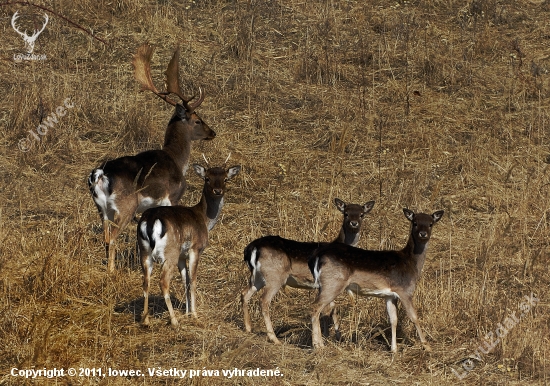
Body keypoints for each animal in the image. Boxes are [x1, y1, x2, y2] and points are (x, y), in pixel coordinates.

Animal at [88, 44, 216, 272]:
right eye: (198, 120)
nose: (213, 132)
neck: (177, 160)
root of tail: (100, 175)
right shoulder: (172, 196)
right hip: (125, 206)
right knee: (112, 237)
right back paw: (112, 271)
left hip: (101, 209)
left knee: (105, 236)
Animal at [138, 163, 242, 326]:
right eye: (207, 178)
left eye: (226, 179)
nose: (218, 191)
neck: (205, 219)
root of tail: (150, 221)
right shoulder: (195, 249)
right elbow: (193, 280)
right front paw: (194, 314)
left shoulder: (182, 255)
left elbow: (185, 280)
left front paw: (187, 312)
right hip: (169, 253)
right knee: (163, 281)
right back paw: (174, 321)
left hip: (144, 251)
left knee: (145, 281)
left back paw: (146, 320)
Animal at [242, 199, 376, 344]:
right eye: (346, 213)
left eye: (362, 214)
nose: (354, 223)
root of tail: (251, 248)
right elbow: (327, 308)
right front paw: (327, 336)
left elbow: (332, 308)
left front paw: (334, 336)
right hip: (275, 276)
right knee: (263, 300)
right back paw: (274, 338)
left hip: (258, 277)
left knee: (245, 293)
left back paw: (248, 328)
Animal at [310, 208, 444, 352]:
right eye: (415, 223)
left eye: (431, 224)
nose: (423, 234)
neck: (411, 264)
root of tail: (318, 256)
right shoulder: (405, 291)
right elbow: (414, 317)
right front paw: (427, 347)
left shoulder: (390, 295)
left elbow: (393, 319)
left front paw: (394, 349)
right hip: (333, 283)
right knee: (315, 307)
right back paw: (318, 345)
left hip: (323, 286)